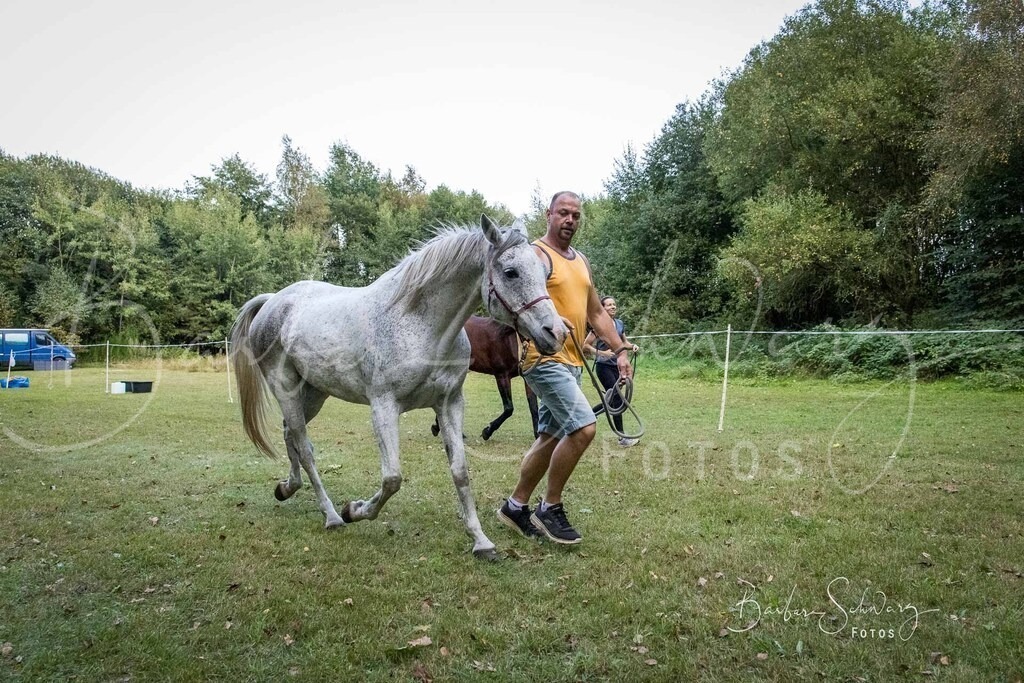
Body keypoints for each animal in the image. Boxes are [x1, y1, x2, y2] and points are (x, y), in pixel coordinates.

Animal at [230, 215, 566, 560]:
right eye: (511, 272)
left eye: (544, 273)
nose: (556, 333)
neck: (420, 326)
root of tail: (272, 301)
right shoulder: (384, 406)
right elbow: (392, 478)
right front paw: (354, 510)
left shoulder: (449, 403)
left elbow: (460, 472)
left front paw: (480, 540)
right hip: (285, 388)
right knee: (304, 446)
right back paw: (332, 515)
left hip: (313, 393)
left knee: (290, 435)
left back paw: (287, 488)